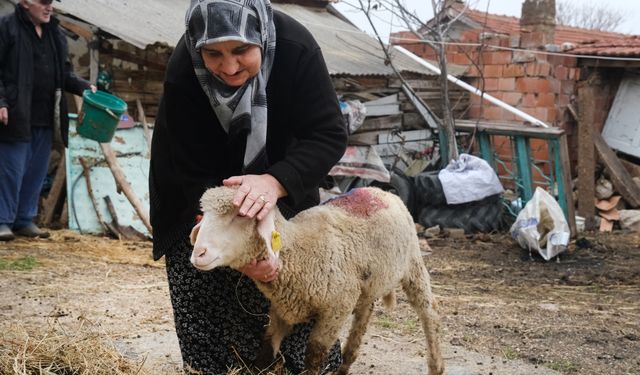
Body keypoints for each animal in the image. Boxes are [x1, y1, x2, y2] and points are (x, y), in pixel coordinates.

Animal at [188, 187, 442, 374]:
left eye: (241, 214)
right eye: (203, 215)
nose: (198, 253)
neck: (300, 251)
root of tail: (382, 191)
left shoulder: (336, 309)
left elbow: (314, 355)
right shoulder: (281, 308)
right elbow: (266, 349)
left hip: (413, 263)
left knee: (428, 311)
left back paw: (436, 364)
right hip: (368, 286)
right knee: (363, 317)